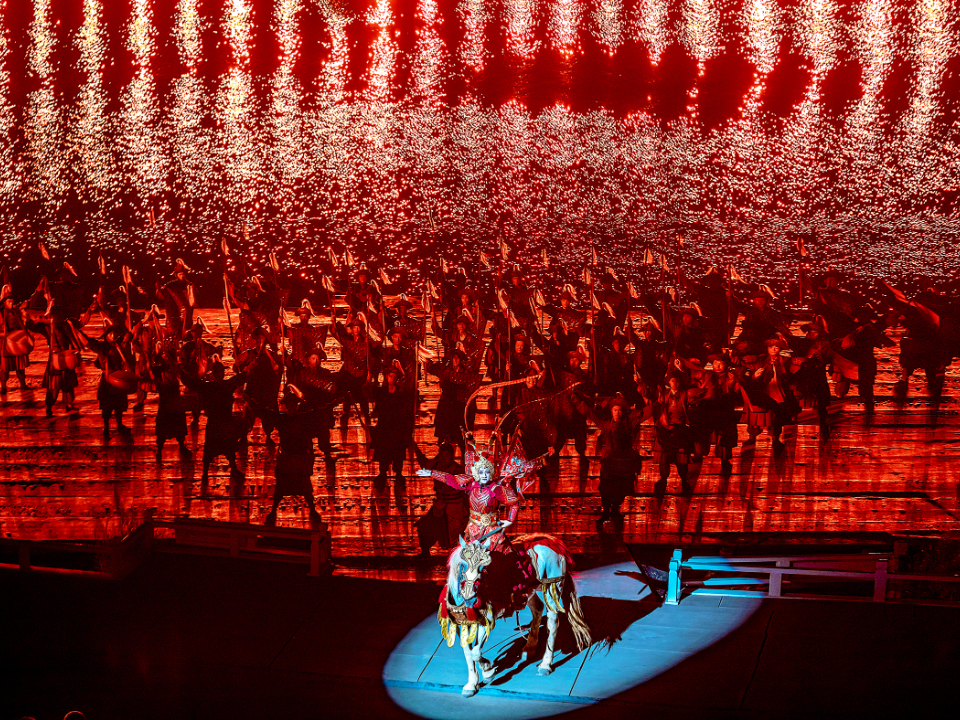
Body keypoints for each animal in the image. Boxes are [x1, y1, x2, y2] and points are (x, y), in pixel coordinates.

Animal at [438, 531, 592, 697]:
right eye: (463, 565)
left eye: (484, 569)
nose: (470, 596)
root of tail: (551, 541)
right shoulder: (461, 624)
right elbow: (468, 652)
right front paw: (471, 684)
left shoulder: (487, 620)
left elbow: (475, 653)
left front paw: (488, 671)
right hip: (528, 591)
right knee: (538, 608)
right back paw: (529, 648)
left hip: (552, 586)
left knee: (552, 622)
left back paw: (545, 664)